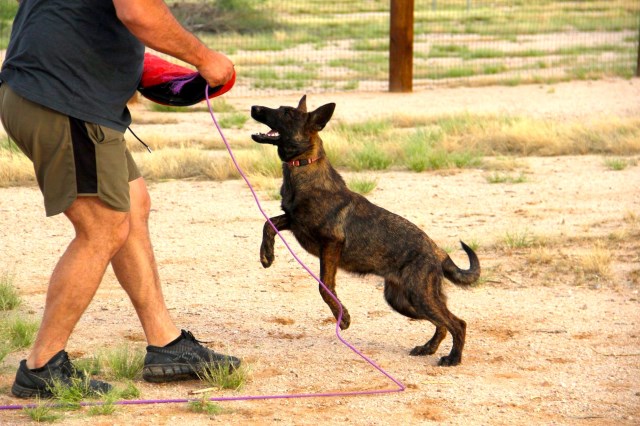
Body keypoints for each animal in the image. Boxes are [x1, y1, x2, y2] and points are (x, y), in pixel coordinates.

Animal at [250, 95, 480, 364]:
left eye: (286, 113)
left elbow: (324, 286)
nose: (254, 108)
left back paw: (453, 358)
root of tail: (438, 251)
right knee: (442, 323)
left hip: (418, 296)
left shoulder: (331, 244)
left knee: (457, 323)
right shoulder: (293, 221)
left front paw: (344, 317)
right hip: (403, 301)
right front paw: (266, 255)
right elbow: (269, 223)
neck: (303, 166)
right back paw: (428, 348)